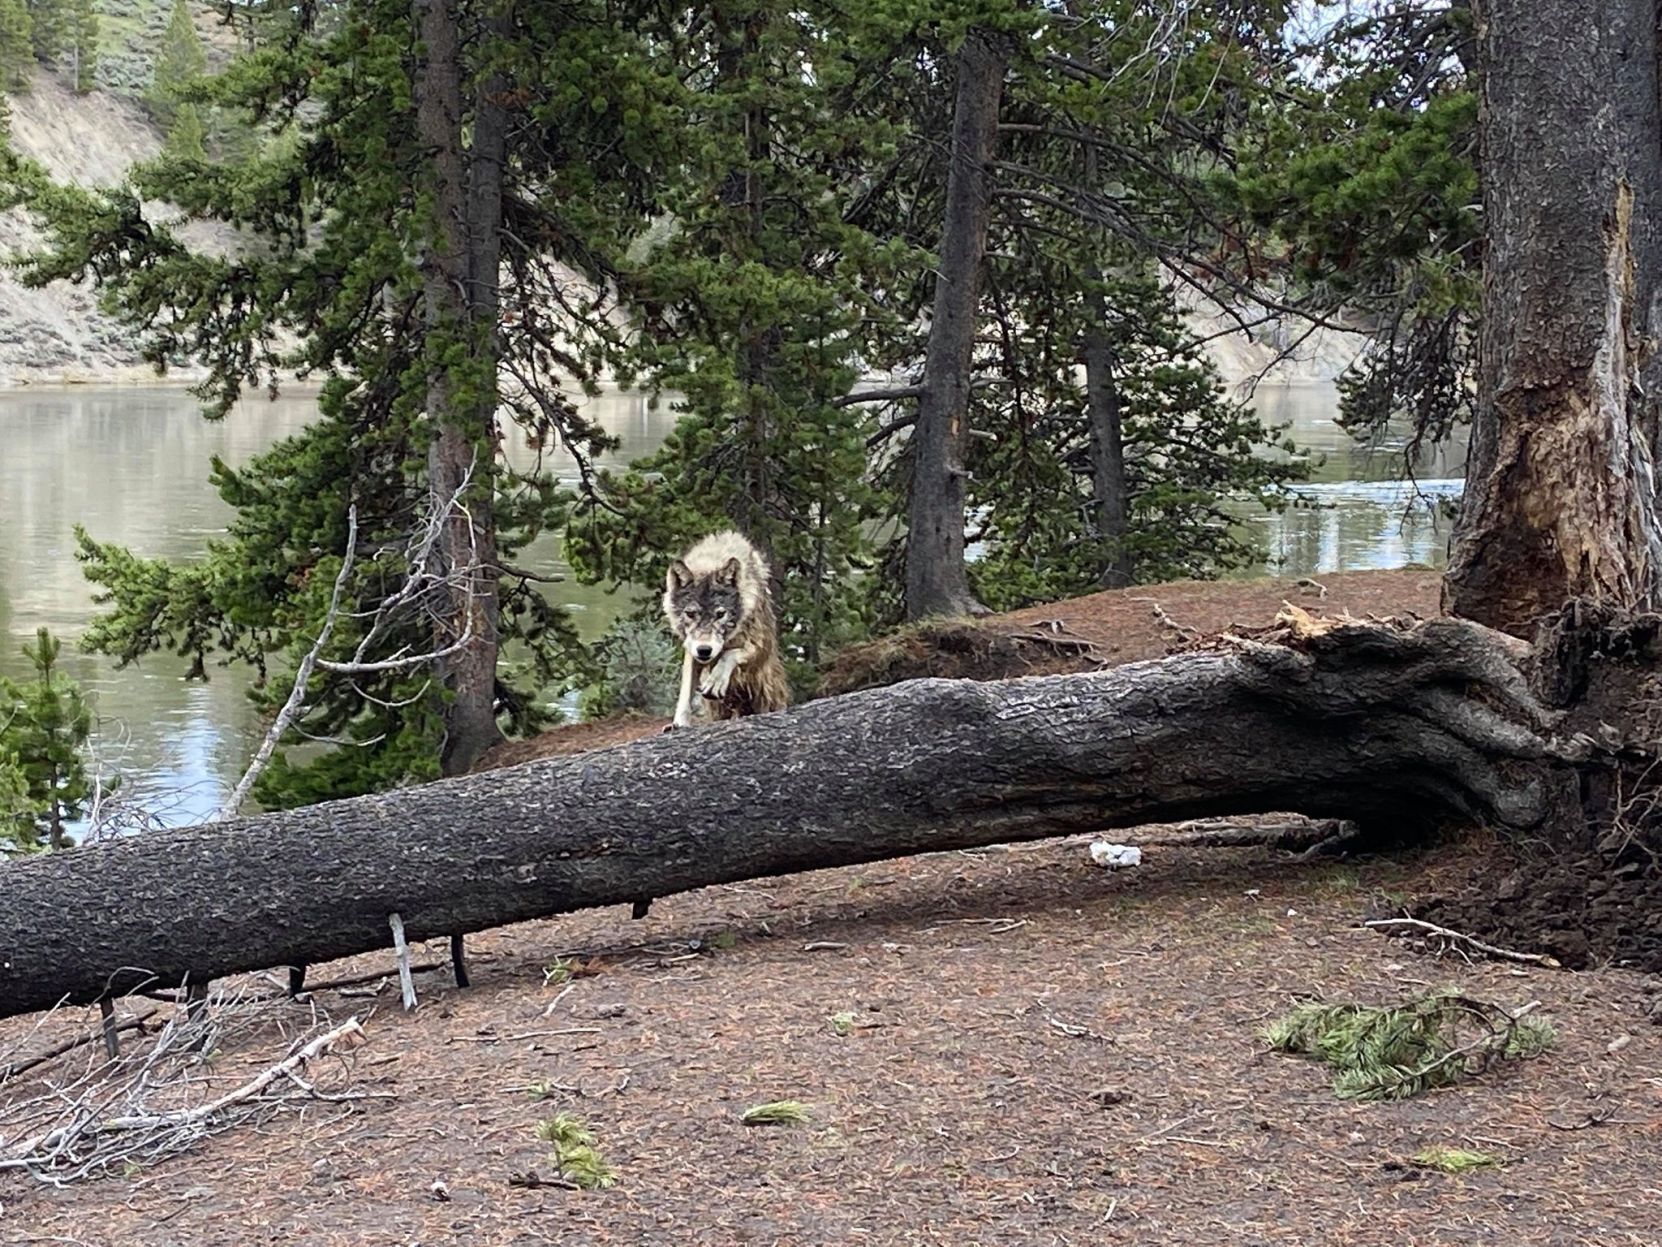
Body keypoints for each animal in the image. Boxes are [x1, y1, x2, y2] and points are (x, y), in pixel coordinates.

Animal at [661, 528, 791, 731]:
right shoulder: (691, 648)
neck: (713, 560)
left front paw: (716, 680)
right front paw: (679, 723)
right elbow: (686, 690)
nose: (704, 650)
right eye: (690, 613)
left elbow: (730, 654)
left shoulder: (762, 646)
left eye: (720, 614)